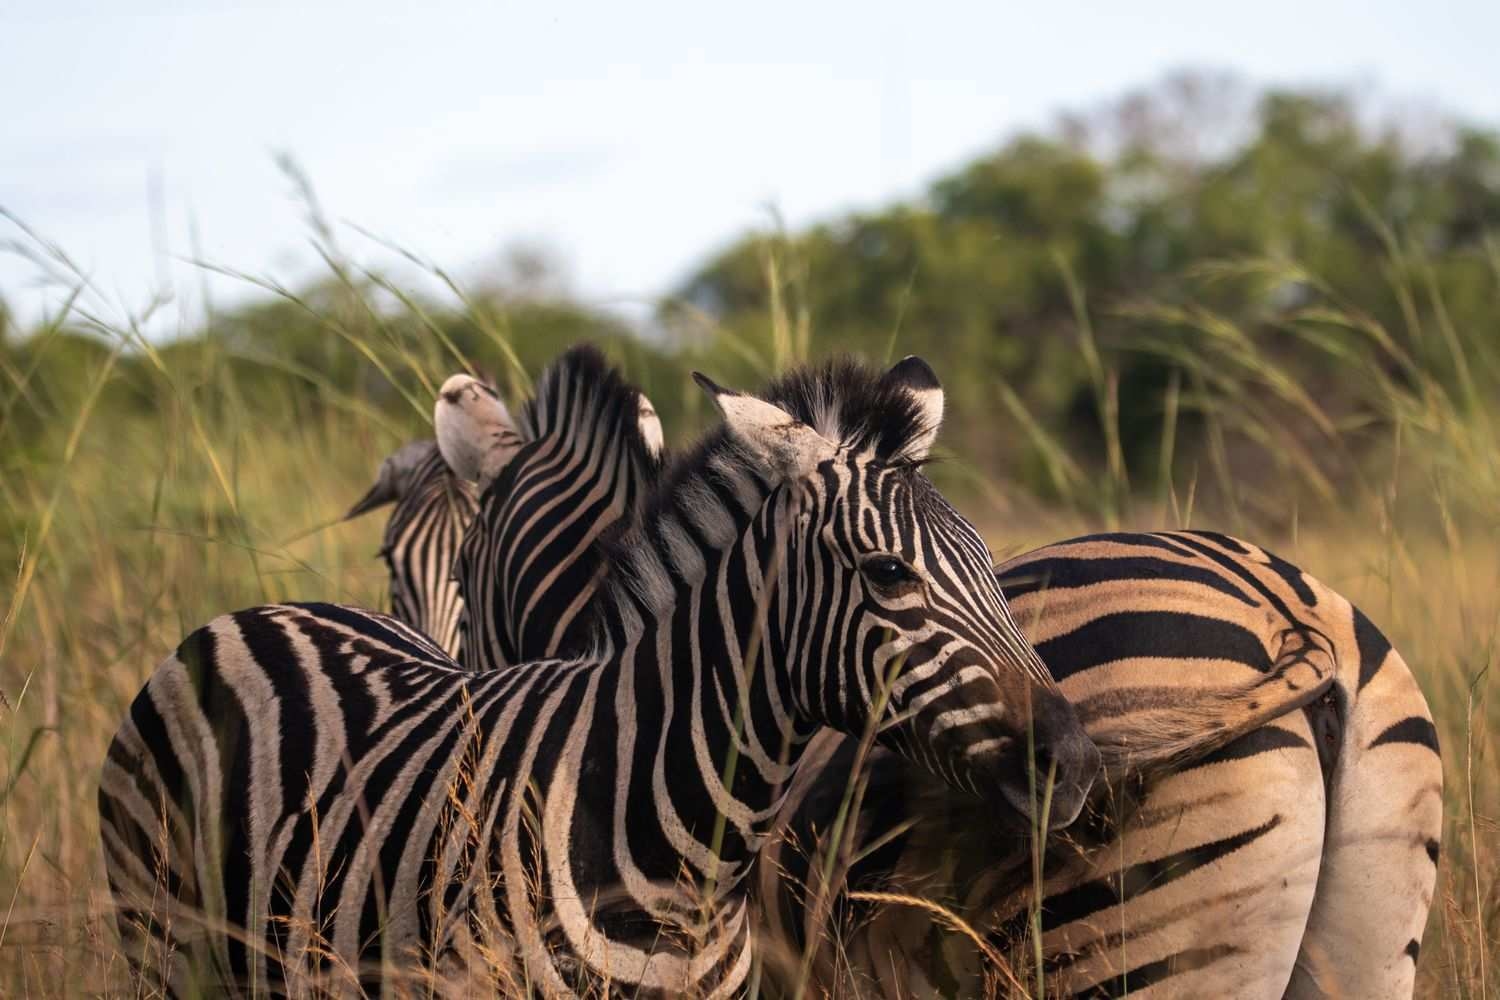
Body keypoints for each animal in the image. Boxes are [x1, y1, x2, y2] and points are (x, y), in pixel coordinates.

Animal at [97, 355, 1103, 996]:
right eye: (889, 573)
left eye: (992, 562)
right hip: (163, 944)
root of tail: (247, 614)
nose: (1078, 763)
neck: (686, 863)